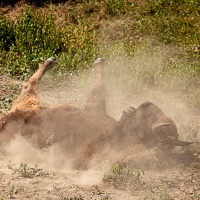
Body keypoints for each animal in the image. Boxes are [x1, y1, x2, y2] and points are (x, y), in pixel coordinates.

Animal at [0, 57, 192, 169]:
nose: (147, 103)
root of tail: (5, 121)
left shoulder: (93, 109)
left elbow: (99, 87)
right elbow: (101, 86)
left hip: (28, 102)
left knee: (30, 84)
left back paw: (51, 61)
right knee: (31, 83)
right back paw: (51, 62)